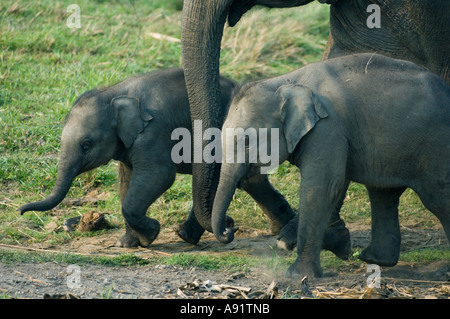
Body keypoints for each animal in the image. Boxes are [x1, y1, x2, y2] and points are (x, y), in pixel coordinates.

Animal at [17, 67, 298, 248]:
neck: (114, 93)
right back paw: (277, 226)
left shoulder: (153, 134)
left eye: (87, 144)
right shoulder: (129, 145)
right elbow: (125, 183)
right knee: (249, 179)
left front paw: (150, 236)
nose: (20, 211)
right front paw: (126, 244)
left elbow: (160, 176)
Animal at [213, 53, 450, 278]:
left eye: (246, 140)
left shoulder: (328, 128)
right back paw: (374, 259)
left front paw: (297, 276)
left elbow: (322, 186)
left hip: (436, 147)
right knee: (383, 194)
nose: (230, 228)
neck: (285, 82)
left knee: (436, 197)